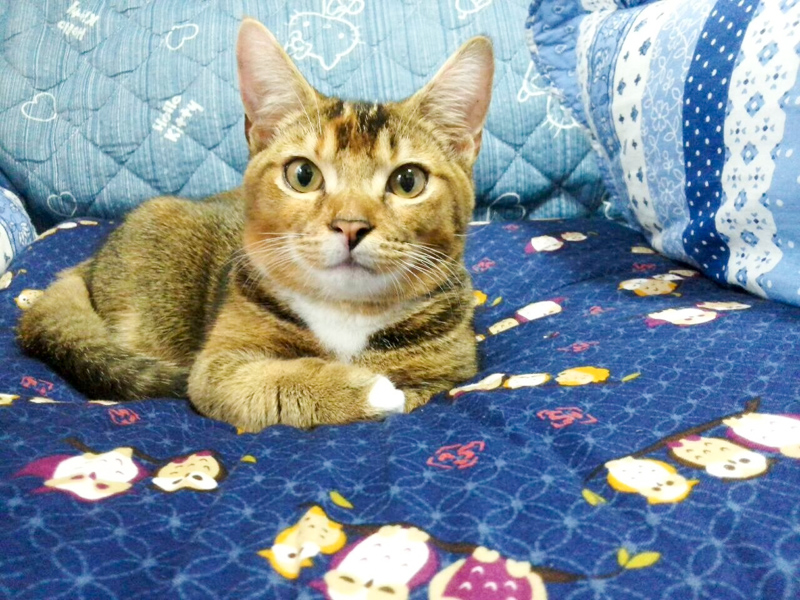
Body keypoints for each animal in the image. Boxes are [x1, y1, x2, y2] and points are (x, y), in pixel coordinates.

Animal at [17, 18, 493, 432]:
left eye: (408, 181)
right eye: (303, 174)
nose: (350, 226)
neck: (346, 312)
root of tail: (88, 265)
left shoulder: (452, 366)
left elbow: (421, 387)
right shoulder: (218, 365)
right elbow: (268, 383)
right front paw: (369, 391)